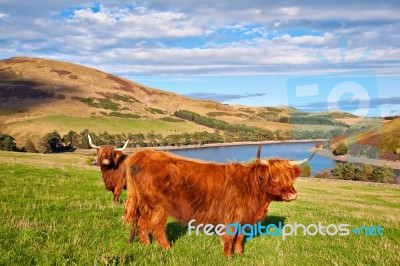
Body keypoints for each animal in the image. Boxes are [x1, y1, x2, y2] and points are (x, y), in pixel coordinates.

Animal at [123, 147, 314, 256]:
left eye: (290, 177)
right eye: (274, 178)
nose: (292, 195)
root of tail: (143, 154)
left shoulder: (245, 218)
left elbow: (240, 237)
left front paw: (240, 254)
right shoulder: (232, 216)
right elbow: (230, 236)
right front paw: (228, 257)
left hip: (145, 204)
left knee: (142, 223)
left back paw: (145, 245)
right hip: (157, 205)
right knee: (156, 226)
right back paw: (167, 248)